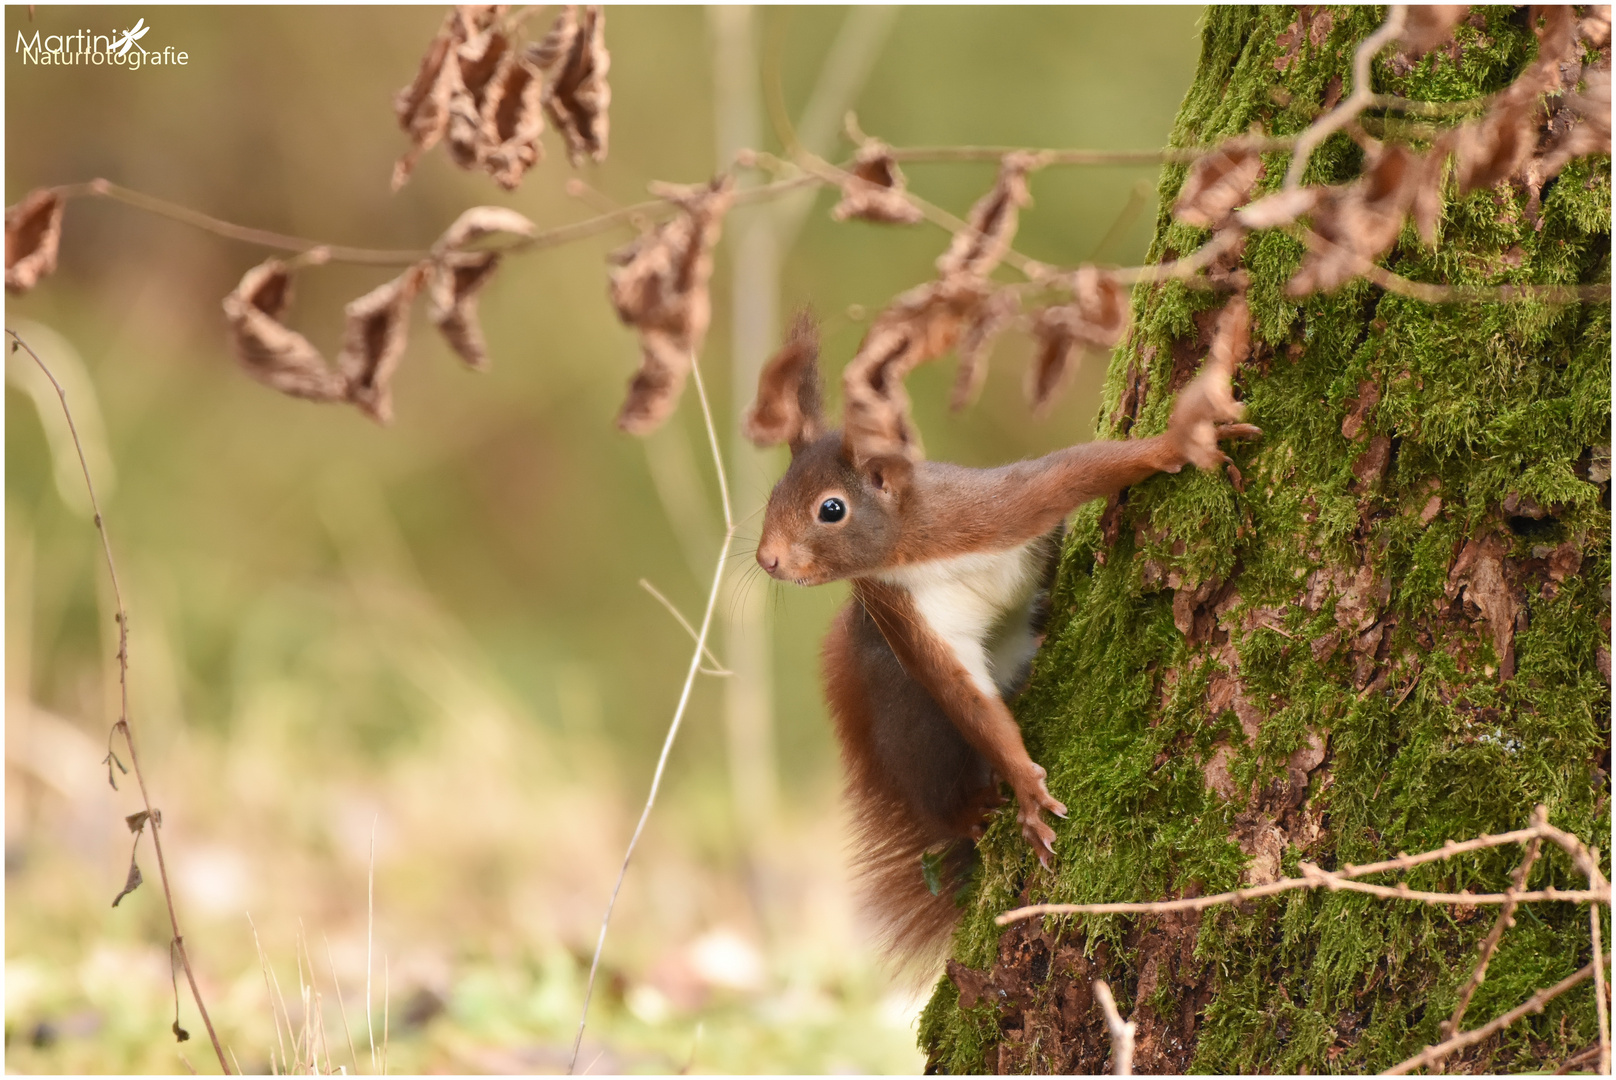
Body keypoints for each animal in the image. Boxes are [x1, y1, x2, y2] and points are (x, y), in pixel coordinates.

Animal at [743, 312, 1260, 963]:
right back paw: (976, 809)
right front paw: (1025, 789)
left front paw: (1178, 444)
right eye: (772, 498)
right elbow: (967, 699)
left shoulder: (995, 510)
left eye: (830, 509)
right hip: (911, 721)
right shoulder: (901, 614)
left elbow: (1078, 469)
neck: (912, 550)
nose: (768, 560)